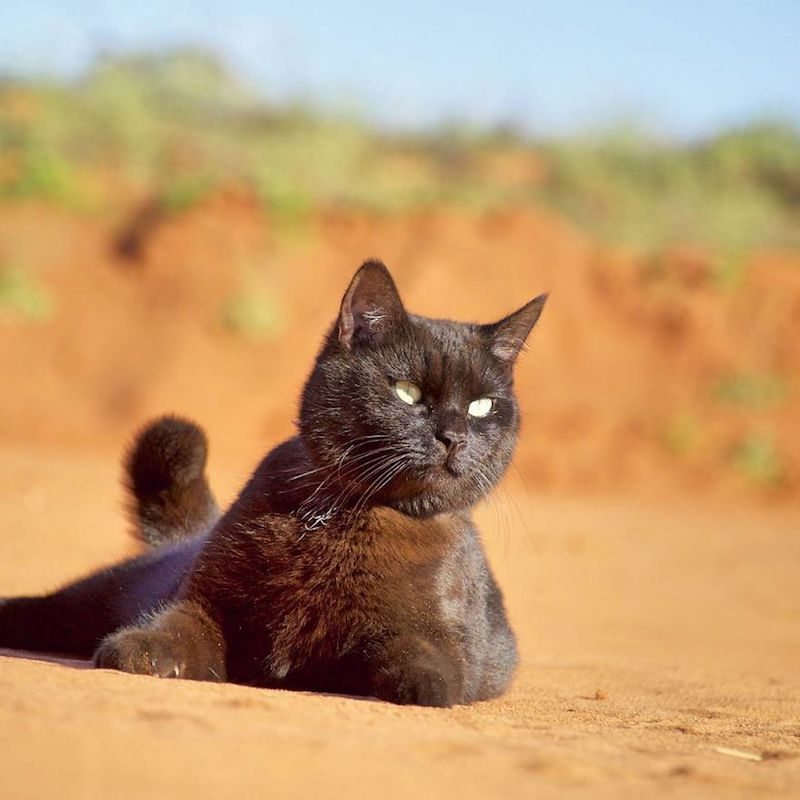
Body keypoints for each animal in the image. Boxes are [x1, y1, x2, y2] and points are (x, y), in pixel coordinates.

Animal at [0, 262, 544, 708]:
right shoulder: (206, 602)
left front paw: (420, 683)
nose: (454, 436)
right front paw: (142, 649)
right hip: (85, 600)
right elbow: (174, 625)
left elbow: (425, 657)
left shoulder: (435, 637)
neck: (346, 517)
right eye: (406, 391)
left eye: (482, 406)